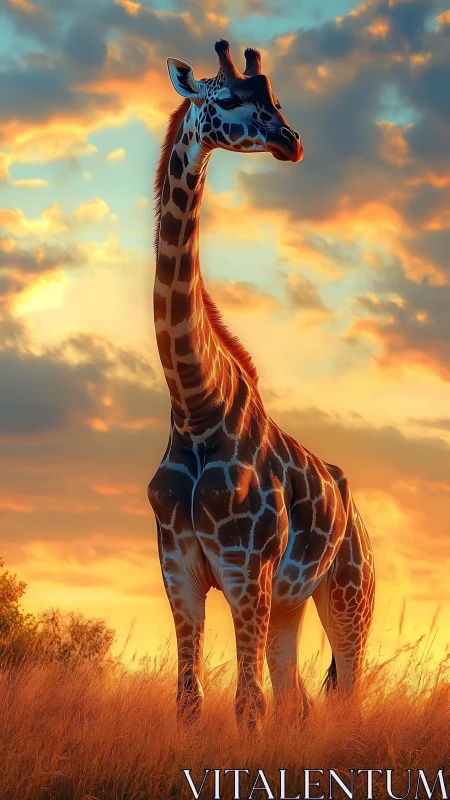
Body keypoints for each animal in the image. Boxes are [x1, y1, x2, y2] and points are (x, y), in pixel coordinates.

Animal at [148, 39, 375, 731]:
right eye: (224, 98)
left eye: (276, 99)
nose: (291, 142)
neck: (194, 407)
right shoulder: (179, 565)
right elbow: (191, 703)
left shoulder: (246, 567)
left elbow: (248, 708)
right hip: (292, 603)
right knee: (296, 696)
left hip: (349, 594)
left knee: (346, 694)